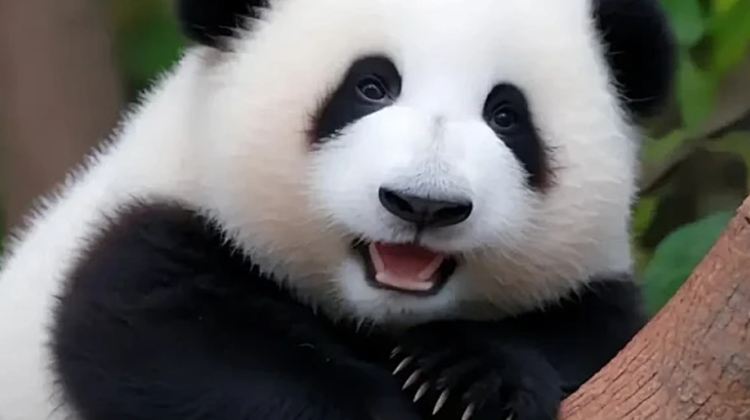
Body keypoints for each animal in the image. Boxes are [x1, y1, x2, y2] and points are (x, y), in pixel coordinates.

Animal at [0, 0, 675, 419]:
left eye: (507, 115)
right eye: (370, 86)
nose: (423, 203)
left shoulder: (594, 295)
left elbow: (593, 334)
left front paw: (469, 377)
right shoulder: (144, 245)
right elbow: (170, 349)